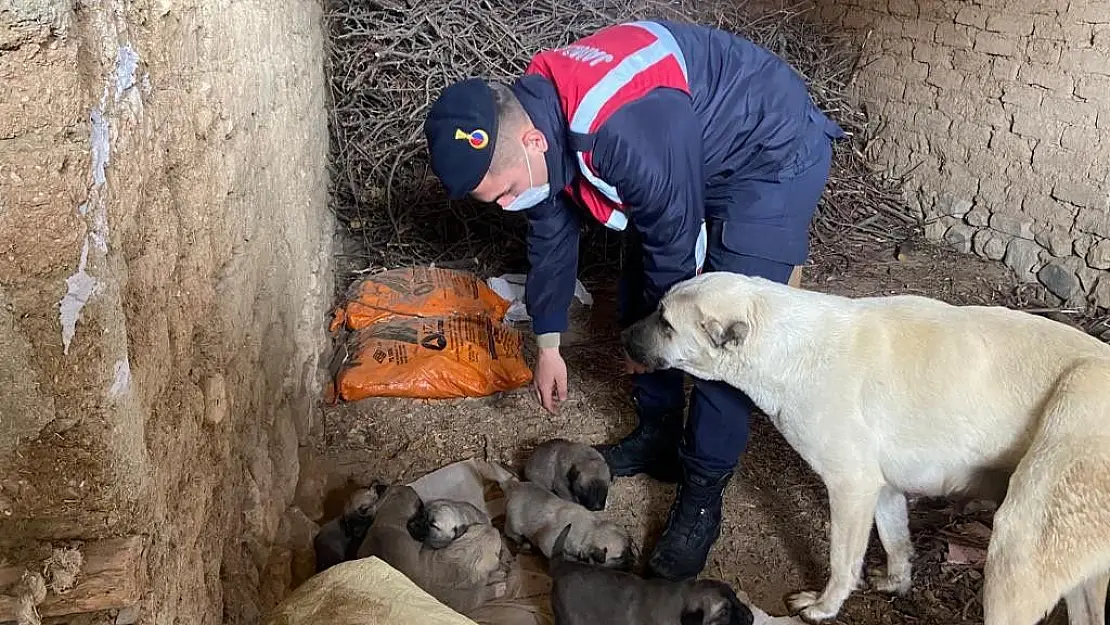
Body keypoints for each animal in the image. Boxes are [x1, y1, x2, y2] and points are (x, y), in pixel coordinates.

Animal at [621, 271, 1110, 625]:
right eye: (659, 311)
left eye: (665, 322)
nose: (622, 335)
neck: (785, 344)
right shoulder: (883, 486)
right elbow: (896, 541)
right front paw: (896, 583)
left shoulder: (851, 485)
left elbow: (842, 561)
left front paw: (823, 608)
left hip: (1020, 540)